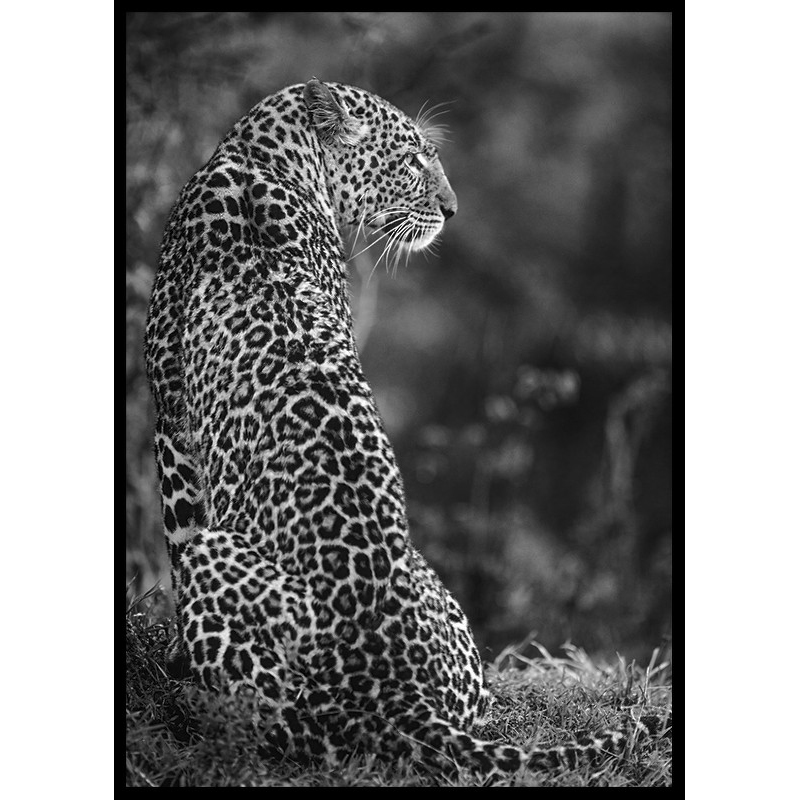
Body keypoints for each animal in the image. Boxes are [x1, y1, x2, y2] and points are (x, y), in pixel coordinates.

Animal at [144, 78, 669, 776]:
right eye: (415, 159)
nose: (453, 209)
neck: (259, 157)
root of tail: (402, 699)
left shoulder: (170, 415)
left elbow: (176, 529)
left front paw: (173, 655)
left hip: (229, 573)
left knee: (273, 716)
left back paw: (197, 700)